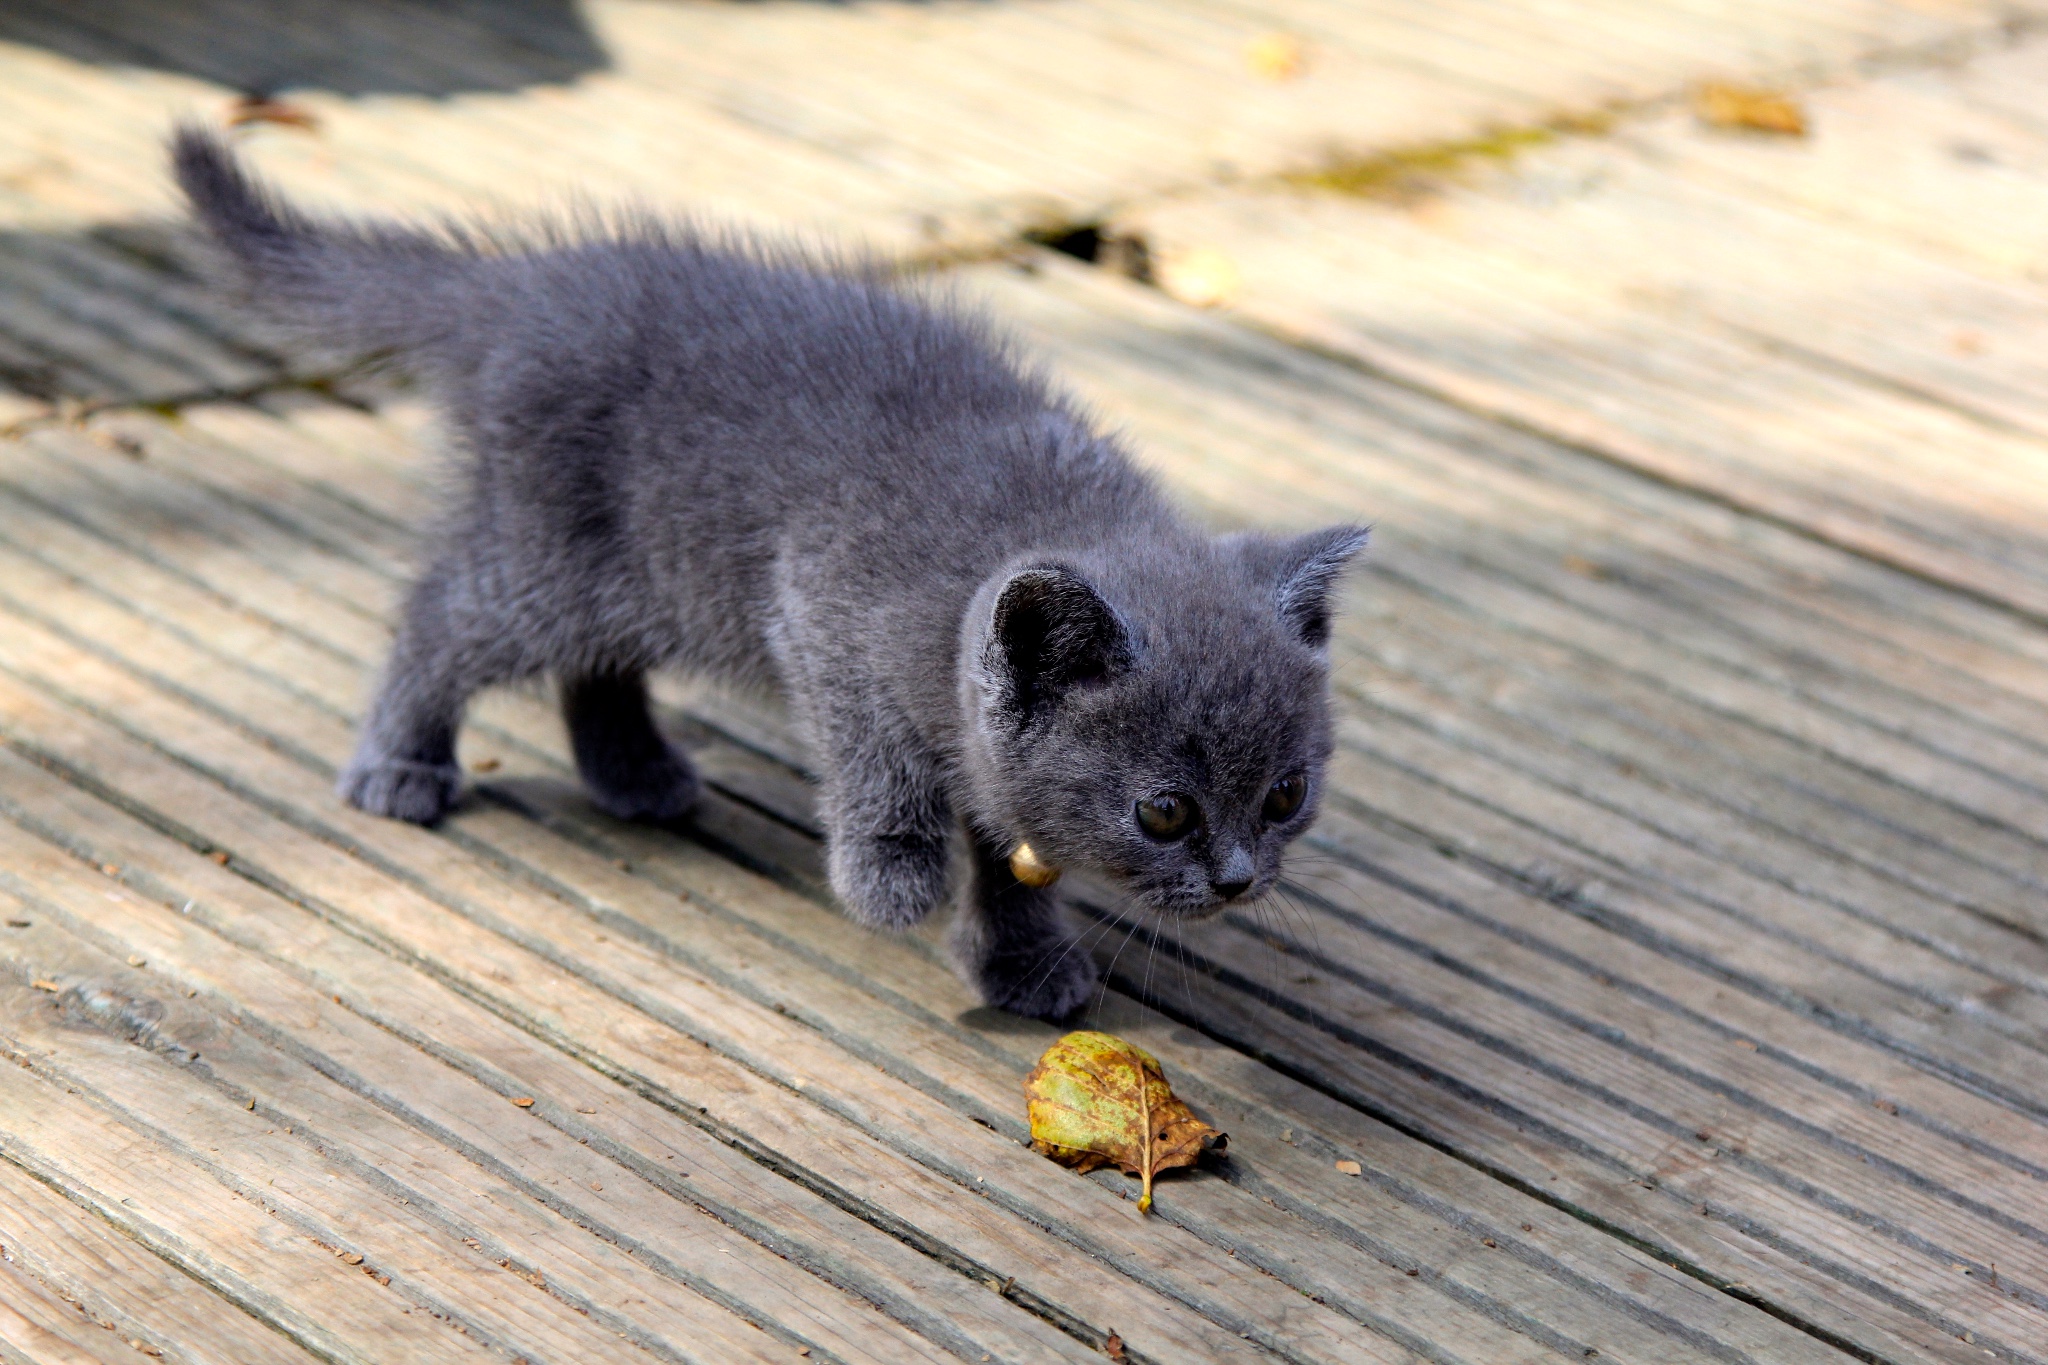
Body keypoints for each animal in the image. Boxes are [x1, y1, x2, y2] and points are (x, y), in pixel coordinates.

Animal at [172, 130, 1359, 1023]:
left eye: (1285, 795)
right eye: (1164, 811)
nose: (1238, 878)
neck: (1042, 512)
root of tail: (518, 288)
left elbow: (998, 838)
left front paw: (1022, 958)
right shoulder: (819, 606)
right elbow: (875, 756)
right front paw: (890, 875)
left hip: (640, 574)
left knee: (590, 665)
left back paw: (634, 774)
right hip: (552, 559)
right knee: (440, 619)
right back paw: (400, 764)